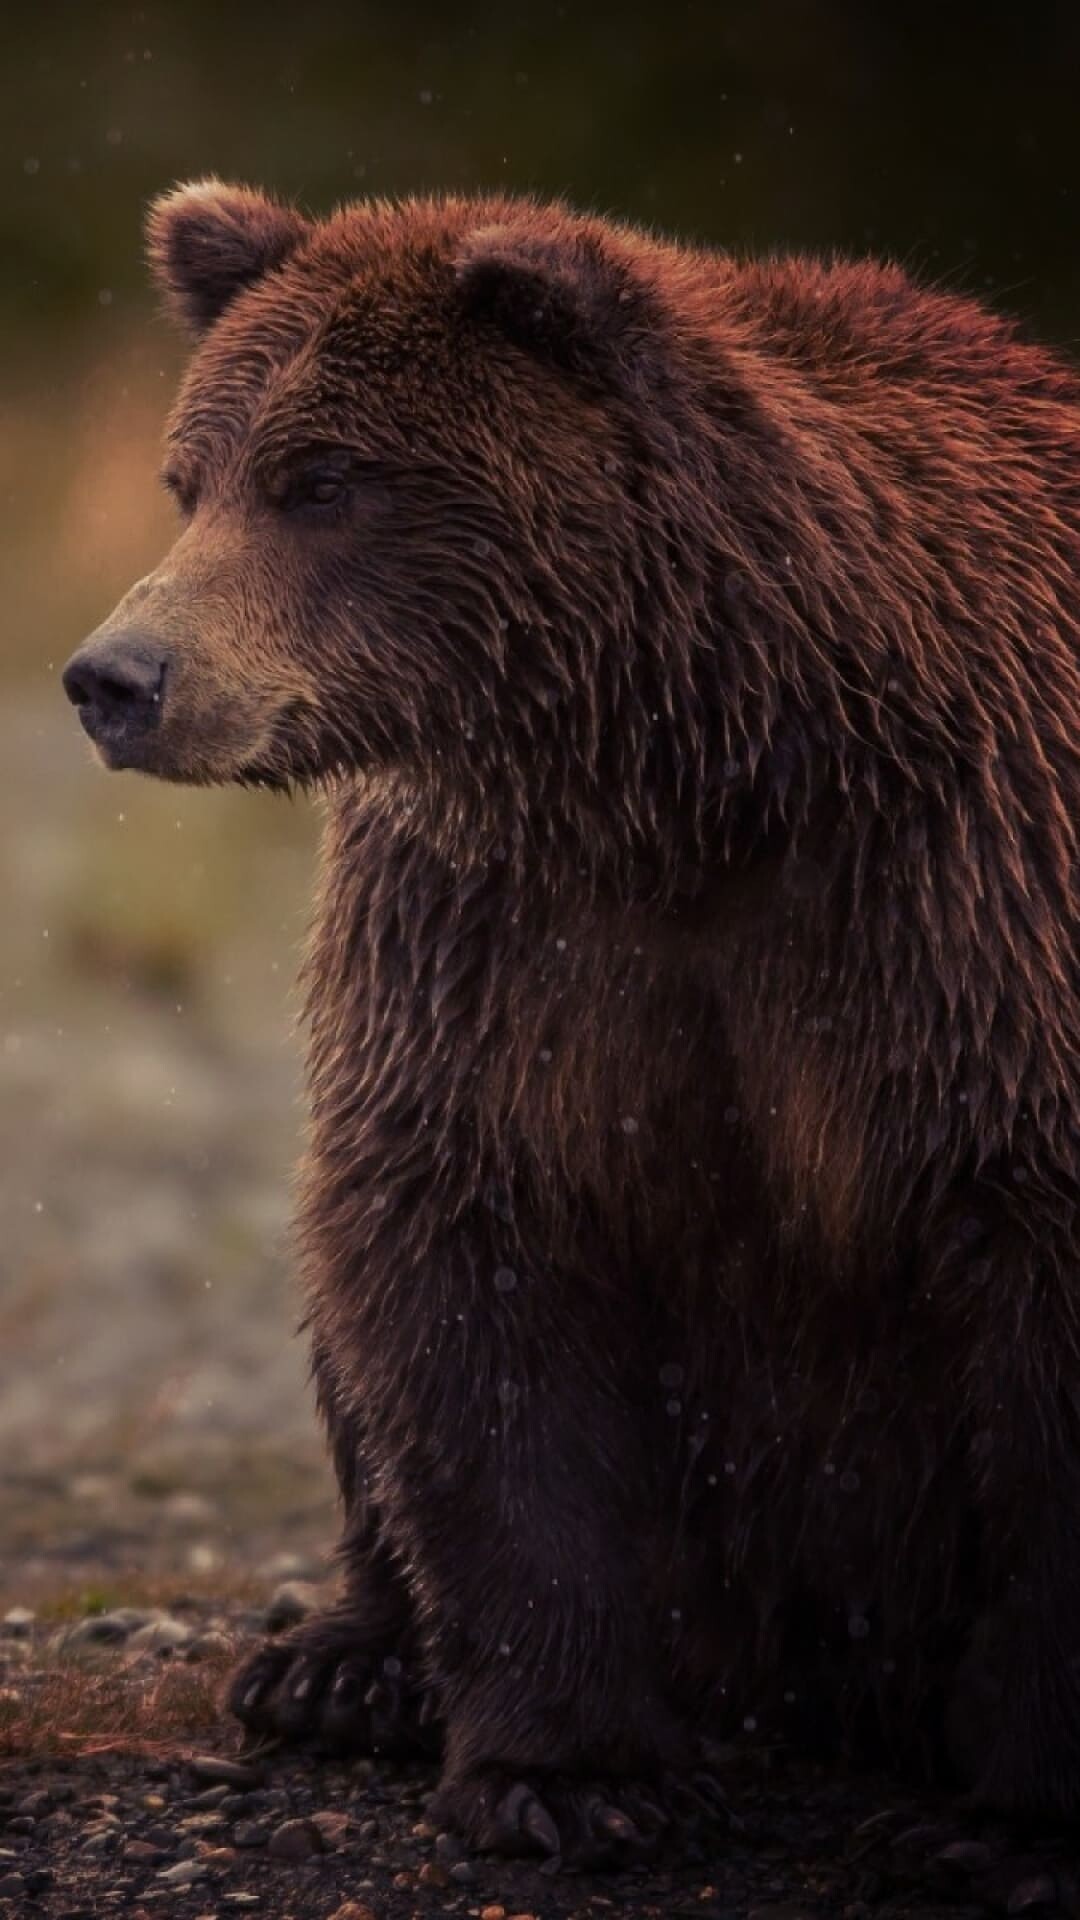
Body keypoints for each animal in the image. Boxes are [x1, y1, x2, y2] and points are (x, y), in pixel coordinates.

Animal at [62, 179, 1080, 1867]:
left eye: (321, 478)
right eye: (188, 479)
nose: (114, 678)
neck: (695, 770)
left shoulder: (959, 896)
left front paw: (1000, 1829)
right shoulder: (499, 940)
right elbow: (468, 1268)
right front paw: (573, 1774)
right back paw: (339, 1666)